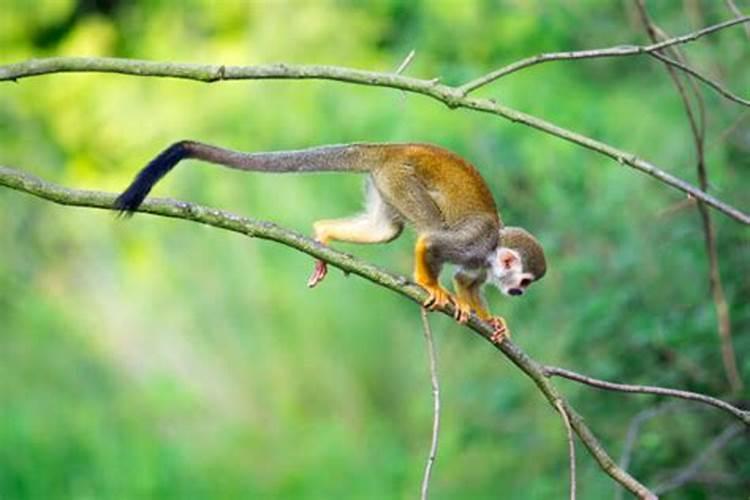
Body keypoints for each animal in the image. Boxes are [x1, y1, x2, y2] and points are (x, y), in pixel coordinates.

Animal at [114, 143, 548, 342]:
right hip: (401, 179)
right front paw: (434, 288)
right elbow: (433, 245)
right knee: (425, 228)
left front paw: (490, 318)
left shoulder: (479, 263)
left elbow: (467, 281)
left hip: (386, 184)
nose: (521, 293)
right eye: (525, 281)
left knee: (386, 230)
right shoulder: (474, 243)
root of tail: (391, 148)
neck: (491, 250)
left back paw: (322, 234)